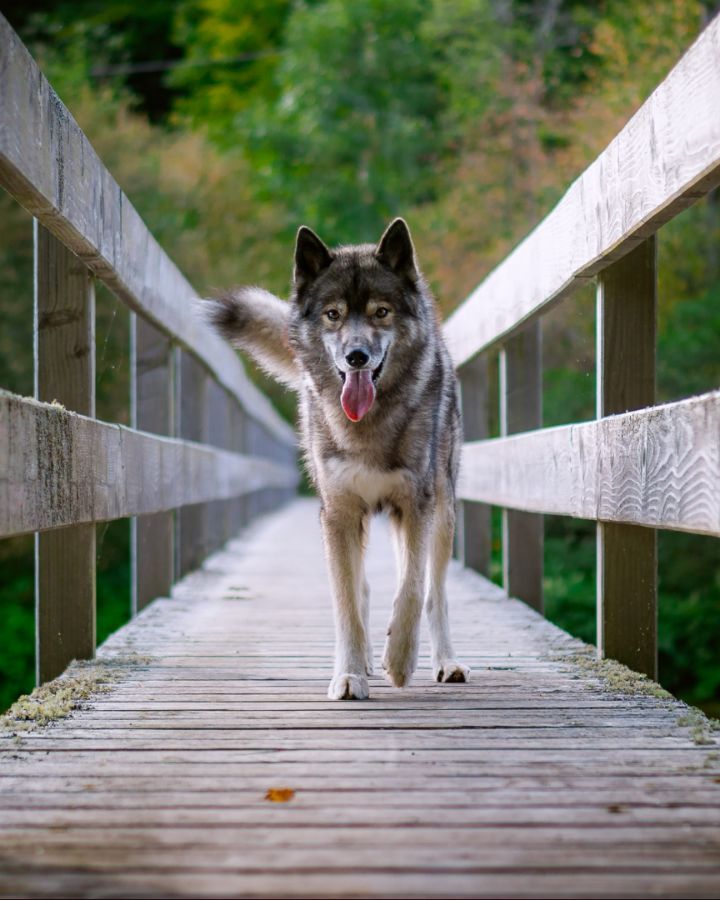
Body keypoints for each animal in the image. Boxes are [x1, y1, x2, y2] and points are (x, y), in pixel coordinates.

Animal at [205, 220, 470, 704]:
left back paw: (444, 662)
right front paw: (349, 675)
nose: (356, 357)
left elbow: (411, 588)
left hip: (442, 510)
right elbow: (346, 601)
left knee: (434, 592)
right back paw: (365, 658)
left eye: (381, 312)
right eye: (333, 315)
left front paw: (398, 662)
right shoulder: (339, 514)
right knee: (363, 587)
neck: (368, 426)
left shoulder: (415, 507)